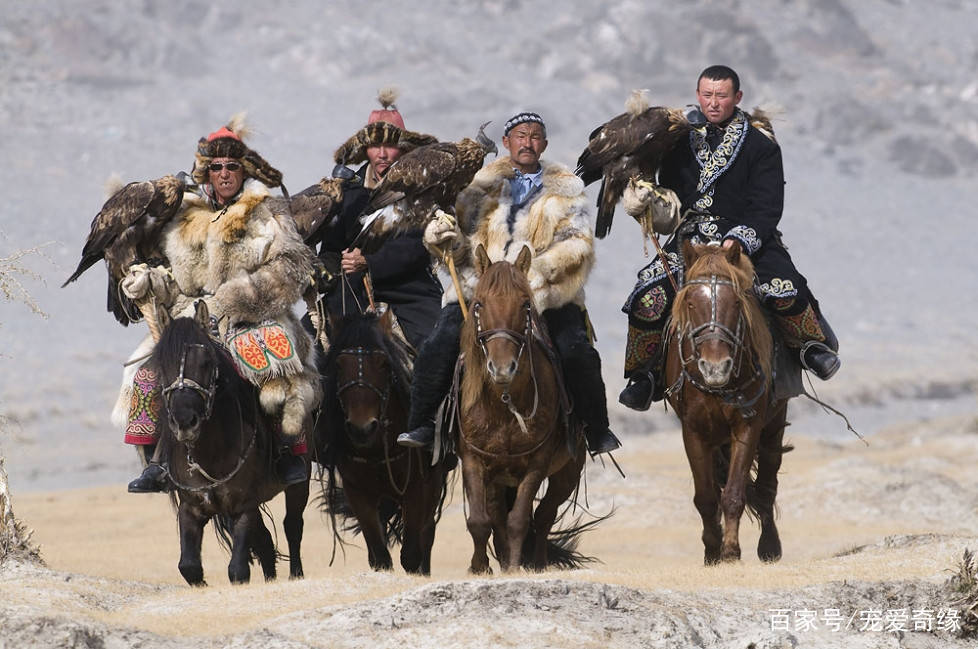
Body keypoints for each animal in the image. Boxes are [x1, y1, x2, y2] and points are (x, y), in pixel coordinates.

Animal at [153, 302, 308, 584]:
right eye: (162, 364)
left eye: (206, 362)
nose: (185, 422)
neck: (209, 453)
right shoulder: (191, 507)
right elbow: (189, 567)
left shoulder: (243, 507)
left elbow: (237, 570)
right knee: (266, 543)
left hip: (299, 484)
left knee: (293, 527)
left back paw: (295, 576)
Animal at [314, 308, 448, 572]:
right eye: (339, 365)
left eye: (384, 363)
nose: (362, 428)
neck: (377, 450)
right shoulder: (358, 493)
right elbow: (379, 557)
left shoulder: (418, 489)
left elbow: (412, 554)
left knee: (427, 536)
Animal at [458, 244, 588, 572]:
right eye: (479, 304)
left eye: (526, 305)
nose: (502, 368)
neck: (503, 406)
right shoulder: (473, 460)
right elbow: (480, 521)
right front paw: (480, 568)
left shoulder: (537, 464)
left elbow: (519, 520)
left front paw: (516, 567)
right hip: (498, 479)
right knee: (497, 517)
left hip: (566, 474)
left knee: (543, 517)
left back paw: (537, 563)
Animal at [660, 240, 788, 564]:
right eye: (691, 303)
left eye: (736, 303)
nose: (715, 368)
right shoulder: (693, 430)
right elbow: (706, 497)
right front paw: (712, 551)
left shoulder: (748, 424)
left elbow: (733, 493)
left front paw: (730, 551)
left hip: (774, 423)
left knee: (767, 485)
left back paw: (770, 546)